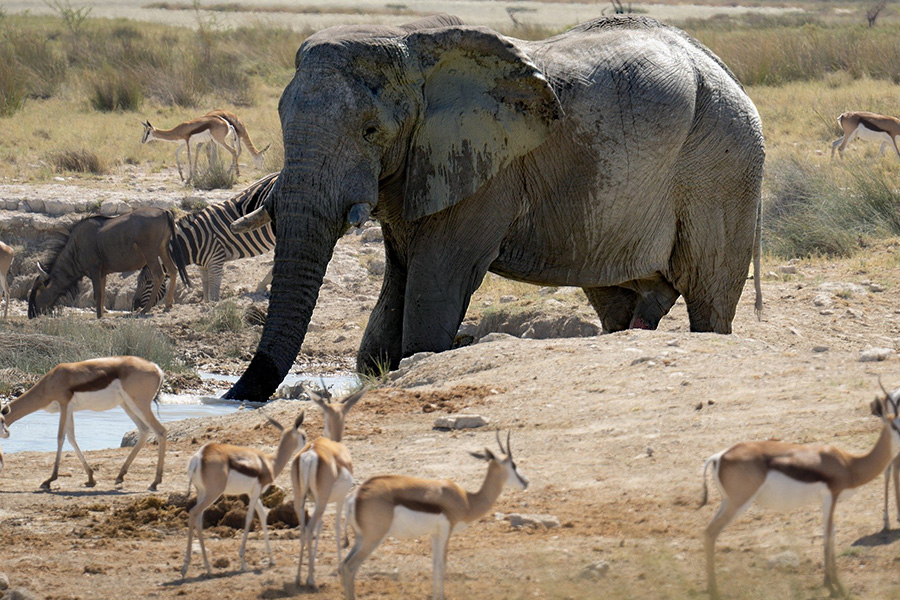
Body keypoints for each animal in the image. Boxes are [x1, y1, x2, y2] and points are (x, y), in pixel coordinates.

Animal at [223, 14, 764, 403]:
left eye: (371, 131)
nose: (231, 400)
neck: (413, 44)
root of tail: (724, 69)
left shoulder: (485, 170)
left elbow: (438, 281)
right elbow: (394, 292)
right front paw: (379, 369)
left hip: (724, 163)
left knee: (709, 299)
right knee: (618, 299)